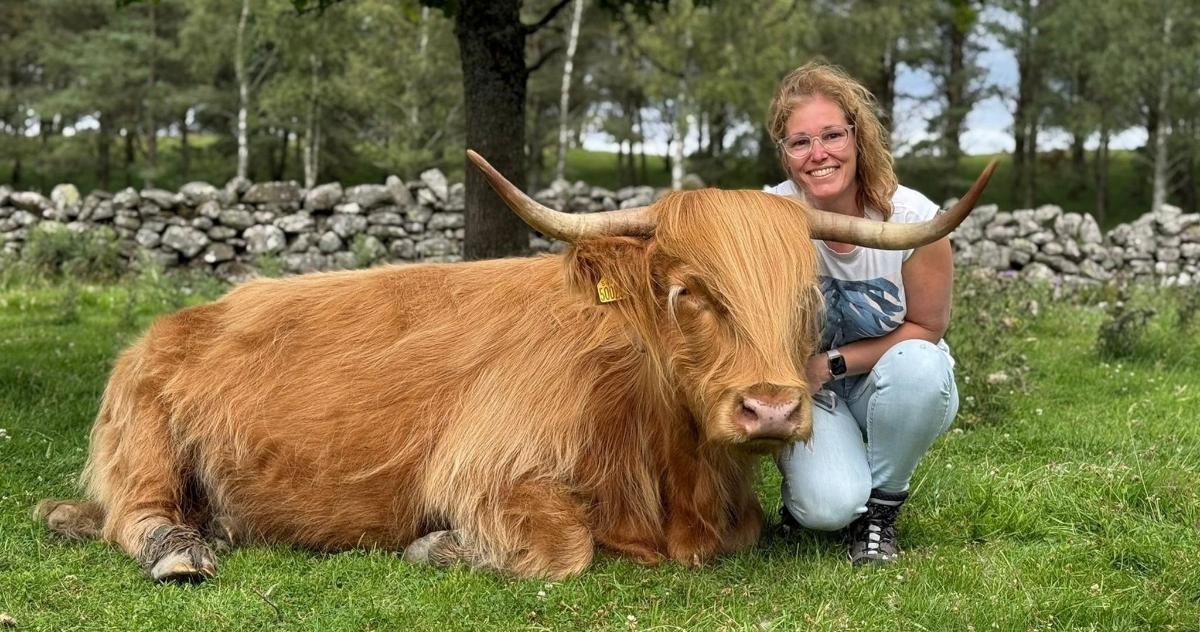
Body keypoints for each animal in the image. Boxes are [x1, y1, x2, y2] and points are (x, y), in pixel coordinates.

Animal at [37, 150, 995, 582]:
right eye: (687, 290)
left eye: (808, 297)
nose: (770, 410)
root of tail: (177, 322)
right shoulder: (487, 469)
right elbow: (565, 548)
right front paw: (437, 545)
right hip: (147, 438)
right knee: (140, 516)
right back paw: (181, 550)